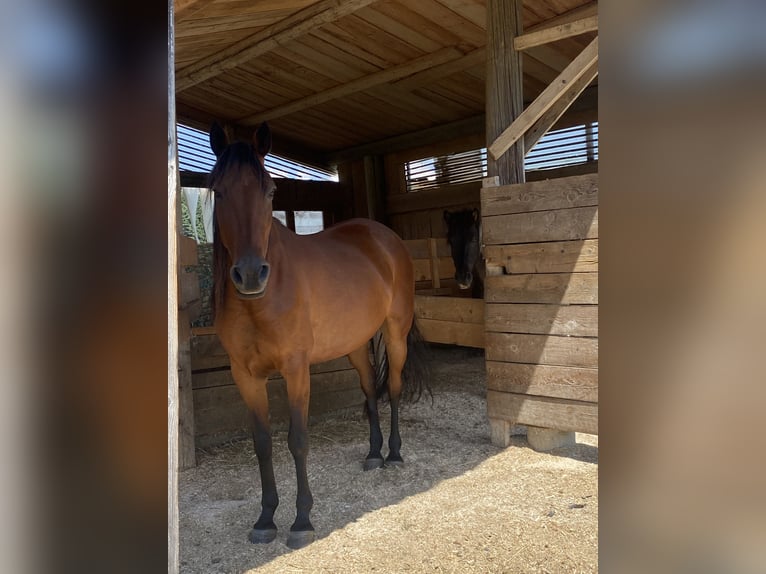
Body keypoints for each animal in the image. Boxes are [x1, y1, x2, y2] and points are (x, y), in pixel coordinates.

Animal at [207, 122, 429, 549]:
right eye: (218, 190)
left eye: (270, 190)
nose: (250, 274)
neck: (262, 299)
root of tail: (384, 236)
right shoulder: (245, 375)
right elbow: (262, 443)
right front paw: (265, 519)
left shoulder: (296, 370)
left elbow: (297, 440)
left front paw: (301, 521)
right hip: (355, 345)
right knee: (369, 390)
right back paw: (373, 454)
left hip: (395, 334)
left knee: (392, 389)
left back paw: (393, 454)